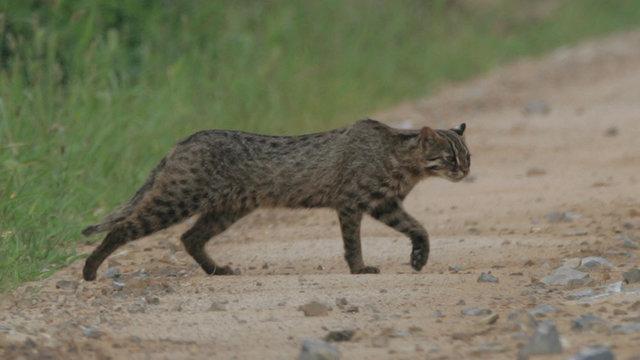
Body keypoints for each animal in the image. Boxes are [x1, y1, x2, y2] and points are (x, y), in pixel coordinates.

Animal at [81, 119, 470, 282]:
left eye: (468, 156)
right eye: (449, 158)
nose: (465, 172)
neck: (403, 163)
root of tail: (183, 141)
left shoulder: (384, 204)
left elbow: (418, 228)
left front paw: (419, 259)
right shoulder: (353, 203)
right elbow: (353, 243)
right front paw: (359, 268)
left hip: (228, 208)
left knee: (190, 237)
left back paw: (216, 270)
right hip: (178, 198)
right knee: (123, 228)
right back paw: (90, 270)